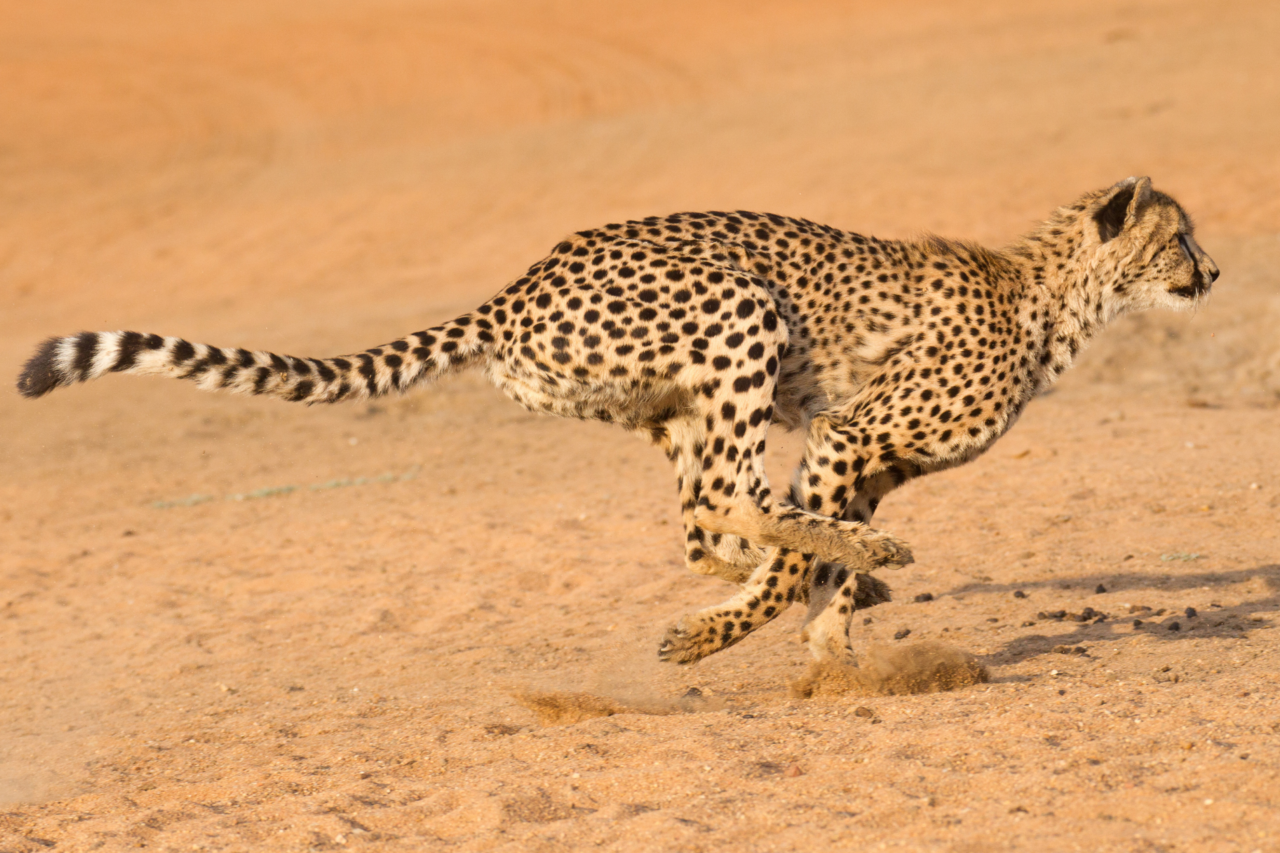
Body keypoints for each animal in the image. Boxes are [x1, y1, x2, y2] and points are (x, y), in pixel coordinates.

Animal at [17, 176, 1218, 670]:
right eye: (1178, 238)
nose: (1212, 272)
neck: (1054, 298)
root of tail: (519, 282)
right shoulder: (847, 438)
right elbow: (802, 555)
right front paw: (753, 634)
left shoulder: (865, 458)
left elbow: (806, 561)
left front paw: (832, 641)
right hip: (739, 316)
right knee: (727, 499)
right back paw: (816, 576)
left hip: (671, 400)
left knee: (699, 520)